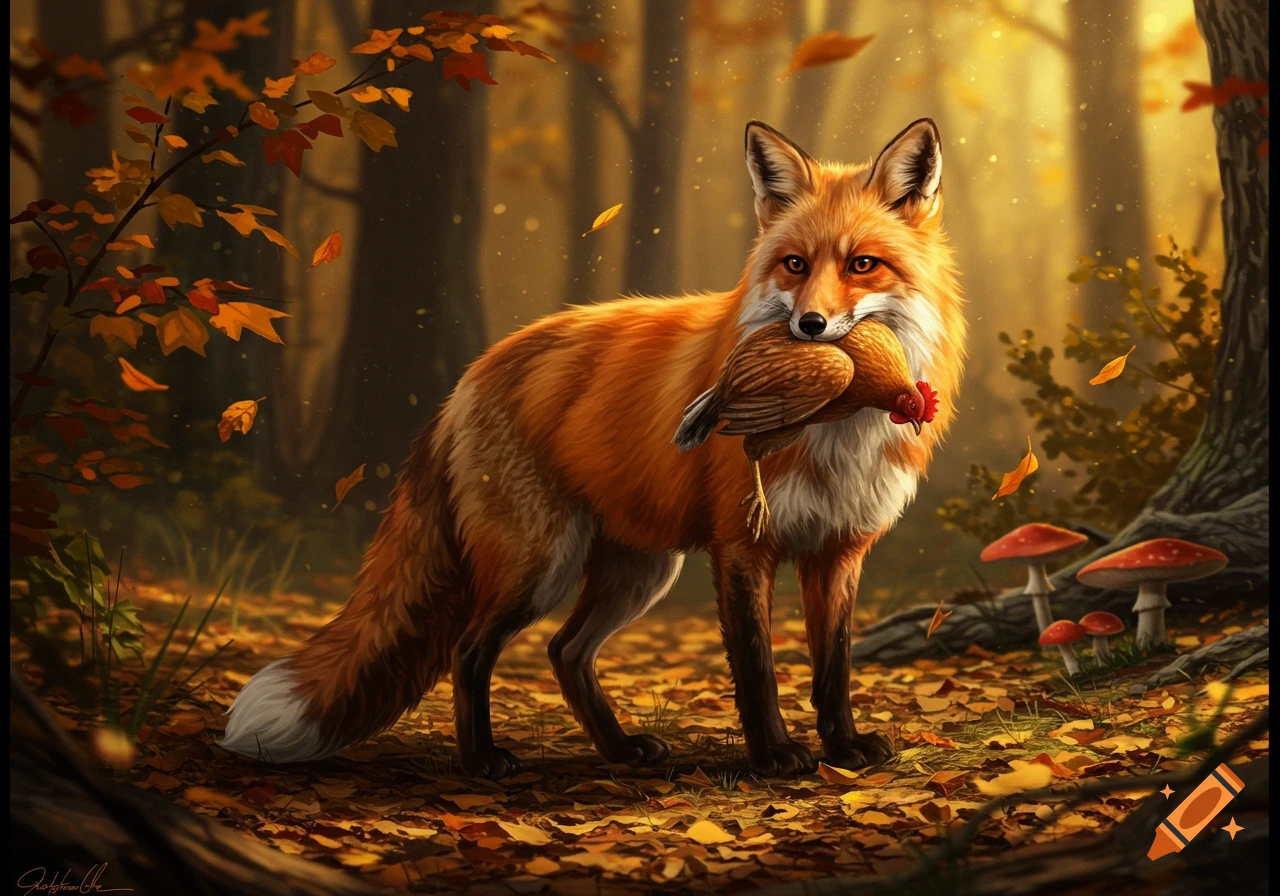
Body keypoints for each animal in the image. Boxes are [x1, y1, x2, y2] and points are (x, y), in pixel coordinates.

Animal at [220, 118, 966, 779]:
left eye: (863, 265)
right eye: (794, 265)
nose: (810, 326)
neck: (840, 423)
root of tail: (470, 375)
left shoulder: (839, 548)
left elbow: (833, 666)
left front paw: (842, 748)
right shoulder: (742, 545)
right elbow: (757, 667)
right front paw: (775, 757)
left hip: (638, 570)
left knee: (565, 650)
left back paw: (619, 749)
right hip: (540, 564)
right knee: (470, 650)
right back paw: (481, 760)